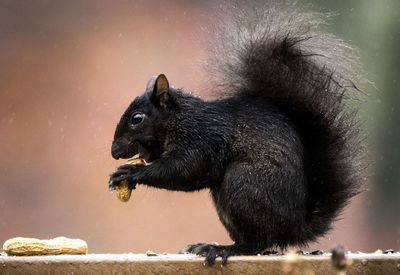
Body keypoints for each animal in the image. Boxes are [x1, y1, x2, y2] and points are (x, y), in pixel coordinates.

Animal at [108, 1, 364, 266]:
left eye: (137, 119)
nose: (114, 151)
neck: (180, 119)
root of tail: (296, 227)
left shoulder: (201, 140)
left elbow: (185, 171)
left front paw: (132, 172)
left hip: (243, 185)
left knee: (256, 242)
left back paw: (223, 249)